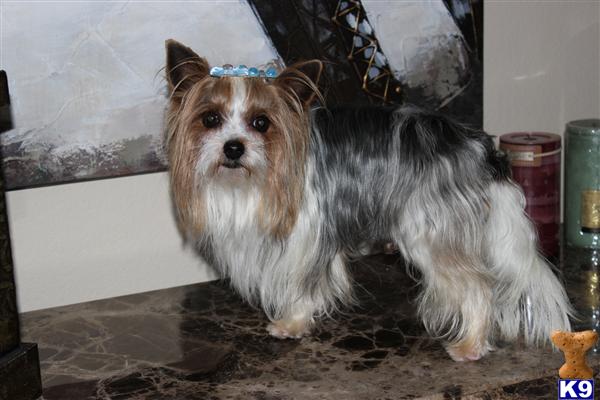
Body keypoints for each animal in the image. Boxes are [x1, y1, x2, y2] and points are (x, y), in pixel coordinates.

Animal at [163, 40, 572, 362]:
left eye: (261, 123)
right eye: (210, 119)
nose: (234, 148)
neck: (251, 183)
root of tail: (480, 147)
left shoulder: (304, 237)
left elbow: (302, 283)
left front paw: (292, 322)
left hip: (429, 229)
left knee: (476, 285)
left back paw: (470, 345)